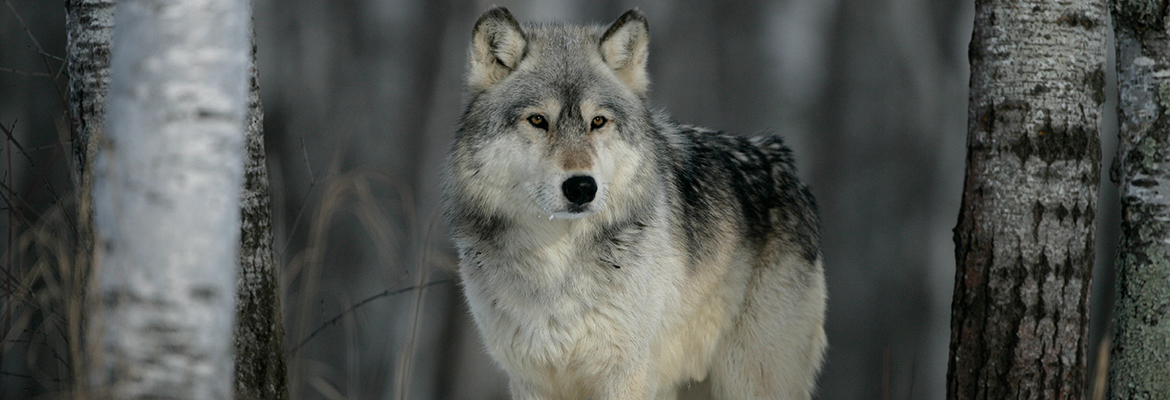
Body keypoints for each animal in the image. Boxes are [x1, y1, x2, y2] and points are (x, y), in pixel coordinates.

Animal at [442, 7, 828, 399]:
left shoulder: (626, 373)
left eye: (598, 121)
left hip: (749, 379)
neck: (557, 263)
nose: (582, 187)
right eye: (537, 120)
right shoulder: (531, 380)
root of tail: (781, 157)